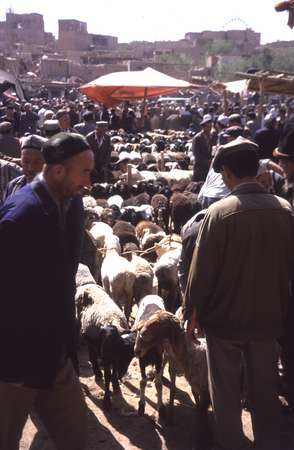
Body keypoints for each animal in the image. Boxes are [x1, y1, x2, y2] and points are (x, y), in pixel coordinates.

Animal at [76, 264, 136, 412]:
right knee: (92, 355)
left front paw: (116, 386)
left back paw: (98, 373)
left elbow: (113, 375)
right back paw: (98, 373)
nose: (122, 374)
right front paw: (107, 401)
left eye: (131, 357)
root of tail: (87, 284)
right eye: (120, 354)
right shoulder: (108, 357)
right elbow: (109, 376)